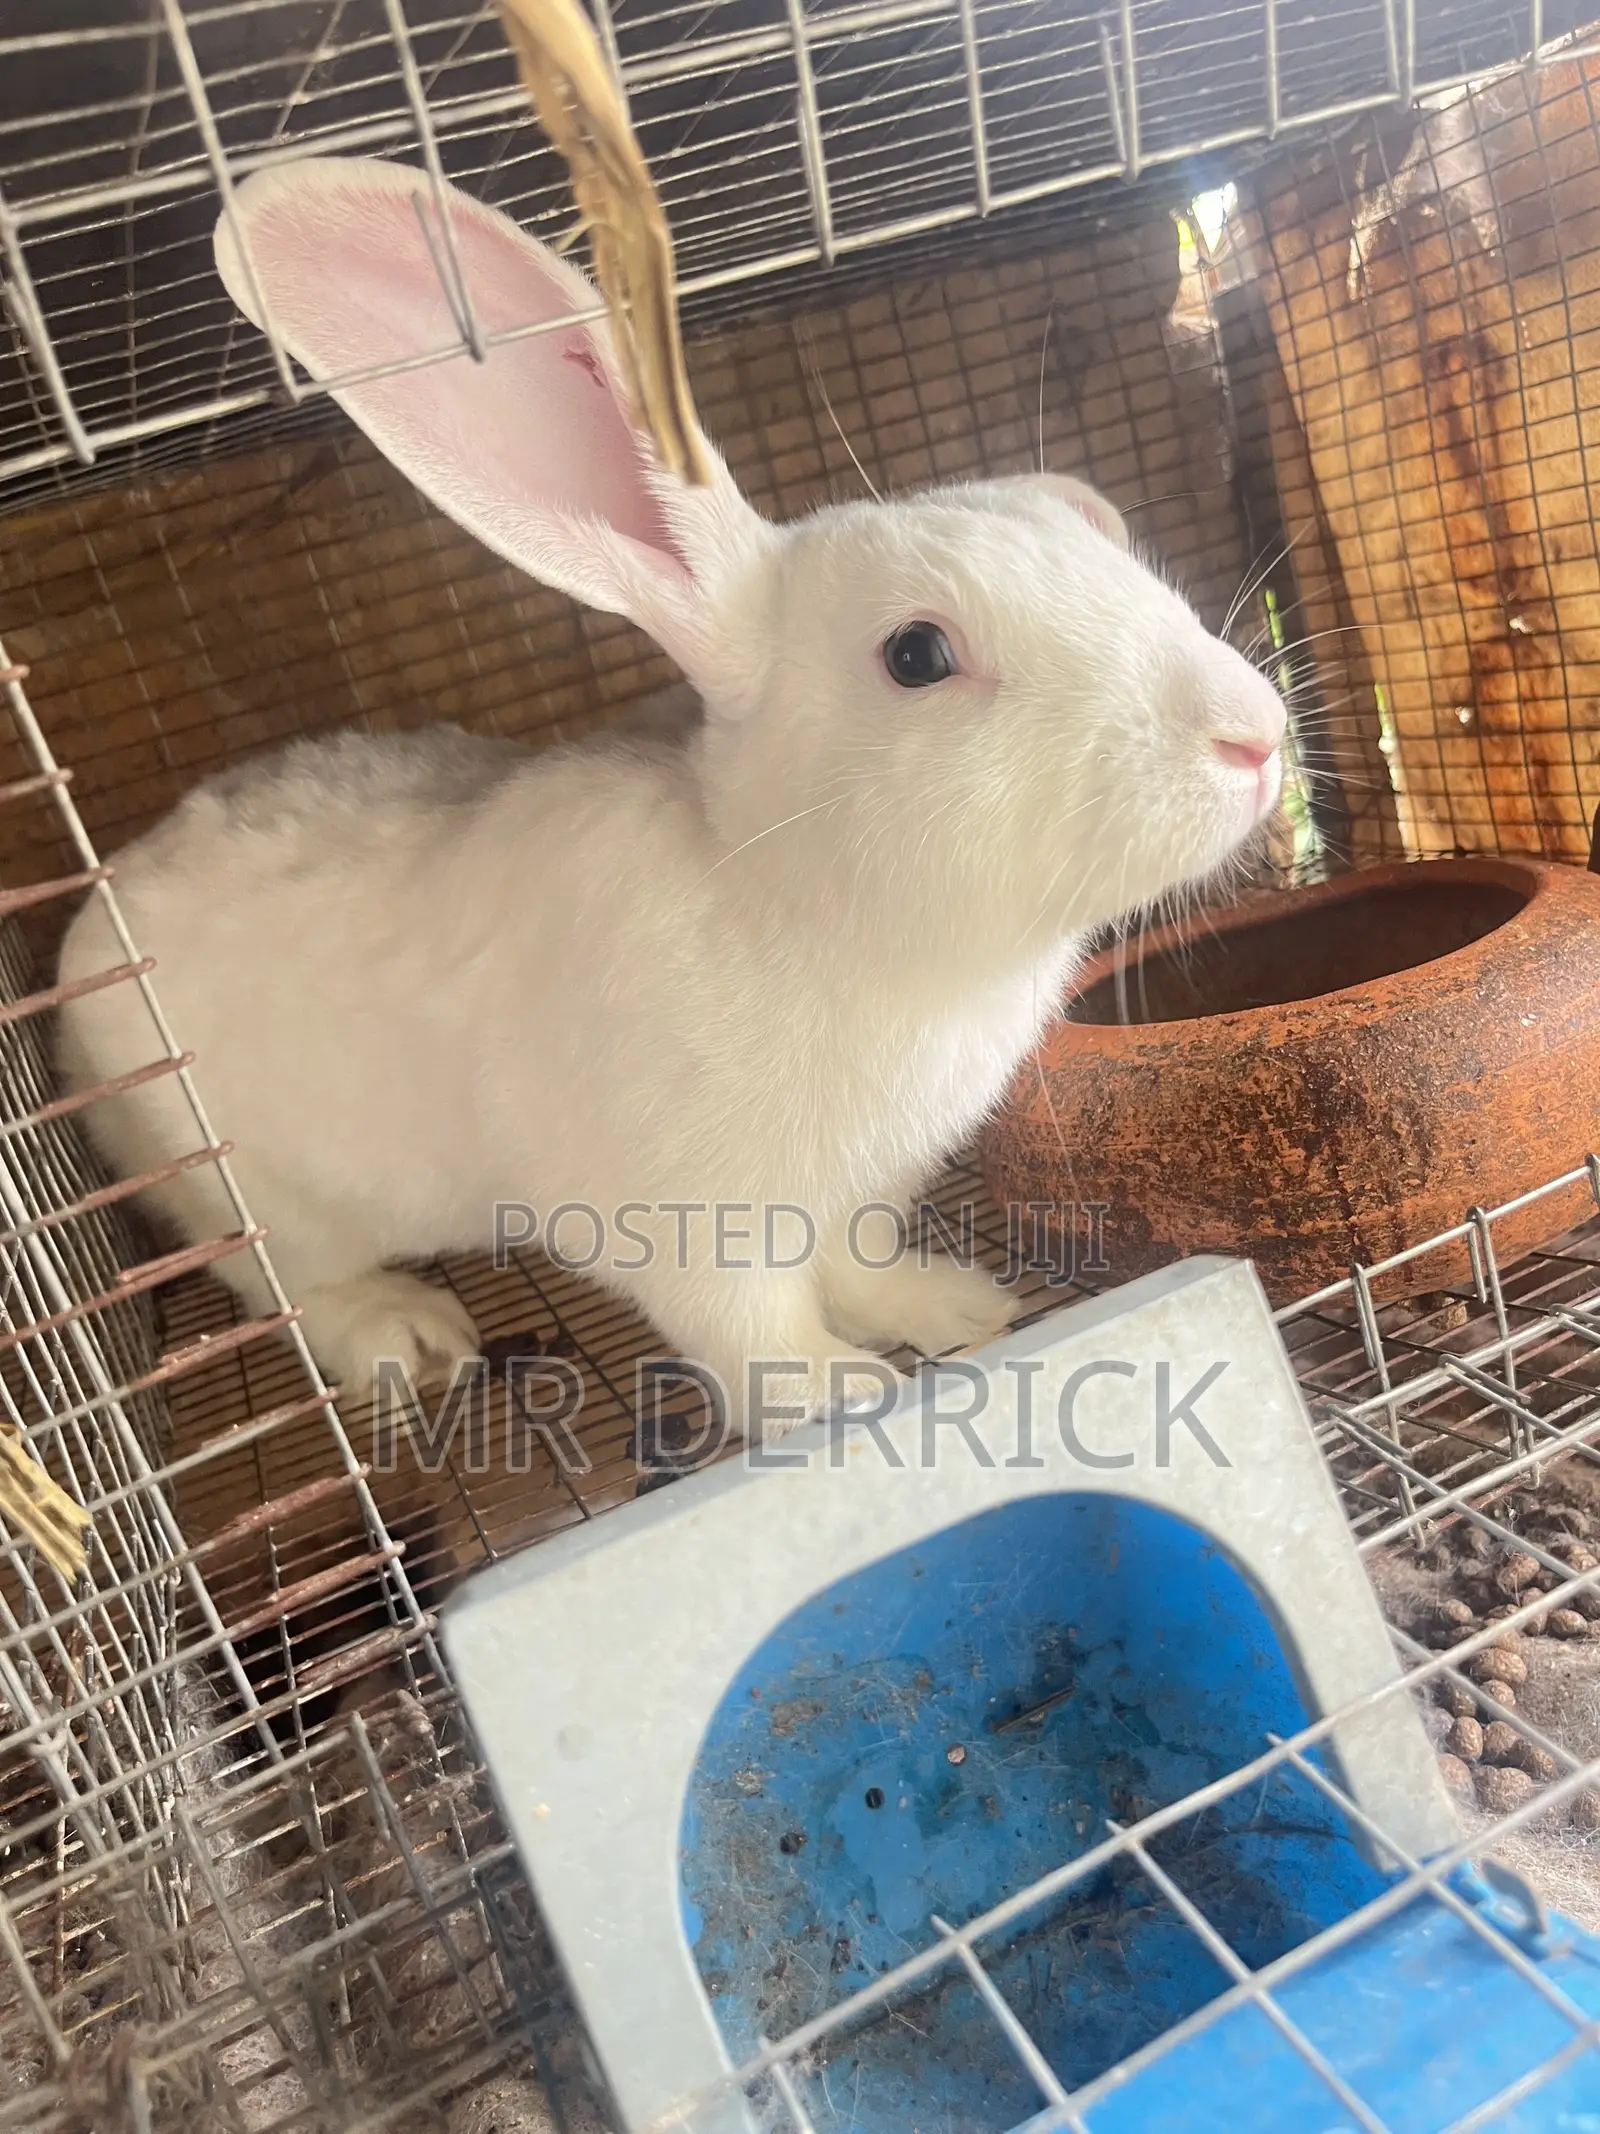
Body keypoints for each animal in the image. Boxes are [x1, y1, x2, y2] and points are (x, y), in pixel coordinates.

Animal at [55, 155, 1287, 1443]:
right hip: (252, 1197)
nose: (1254, 734)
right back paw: (409, 1335)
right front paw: (840, 1393)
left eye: (1094, 525)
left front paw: (953, 1307)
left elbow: (857, 1263)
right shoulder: (685, 1223)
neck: (808, 903)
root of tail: (83, 937)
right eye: (916, 656)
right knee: (292, 1287)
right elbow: (752, 1331)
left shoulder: (857, 1189)